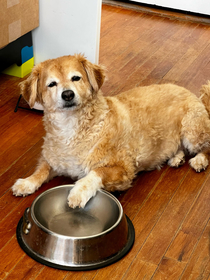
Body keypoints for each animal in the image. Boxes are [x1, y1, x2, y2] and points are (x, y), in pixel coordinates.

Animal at [11, 54, 210, 208]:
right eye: (52, 84)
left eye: (76, 78)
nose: (67, 94)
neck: (71, 127)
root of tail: (195, 96)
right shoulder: (55, 160)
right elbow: (42, 170)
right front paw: (27, 183)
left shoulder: (124, 170)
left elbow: (96, 172)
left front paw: (78, 192)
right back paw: (176, 157)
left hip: (193, 131)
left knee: (207, 146)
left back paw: (199, 160)